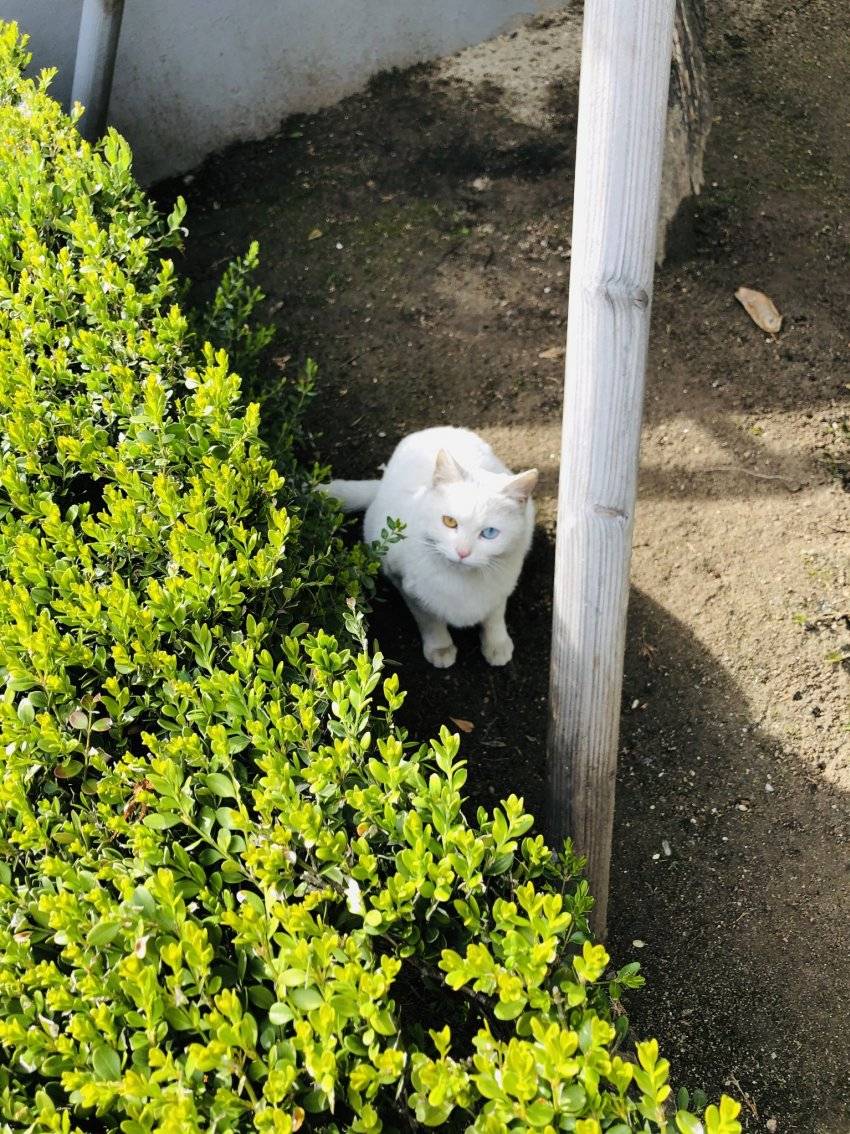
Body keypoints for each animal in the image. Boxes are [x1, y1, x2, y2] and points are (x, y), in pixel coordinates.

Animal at [326, 426, 537, 668]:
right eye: (449, 522)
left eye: (490, 533)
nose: (463, 552)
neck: (461, 582)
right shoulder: (408, 587)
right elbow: (430, 620)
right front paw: (440, 648)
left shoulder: (503, 587)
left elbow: (494, 615)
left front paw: (496, 644)